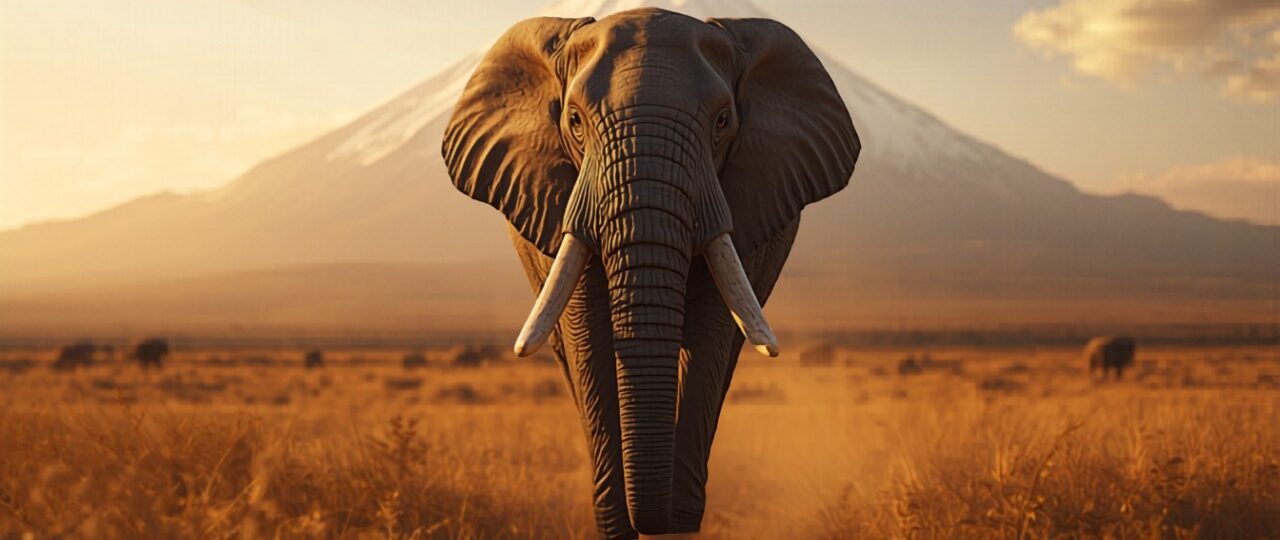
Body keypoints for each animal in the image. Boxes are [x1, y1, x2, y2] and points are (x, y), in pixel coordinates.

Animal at [442, 8, 859, 537]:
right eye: (574, 121)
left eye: (722, 121)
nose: (657, 521)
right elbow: (587, 338)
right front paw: (617, 521)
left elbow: (710, 335)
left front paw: (678, 519)